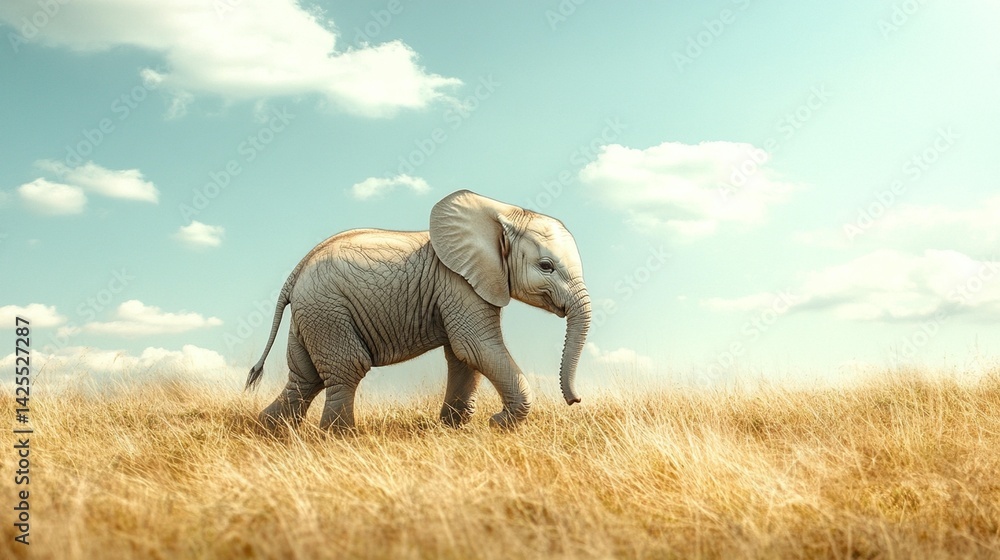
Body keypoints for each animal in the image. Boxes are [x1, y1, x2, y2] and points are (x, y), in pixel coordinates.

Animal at [245, 189, 592, 431]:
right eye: (546, 266)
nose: (575, 400)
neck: (502, 213)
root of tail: (295, 273)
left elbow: (463, 357)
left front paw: (454, 429)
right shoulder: (458, 283)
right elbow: (475, 348)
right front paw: (499, 424)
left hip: (311, 314)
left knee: (305, 376)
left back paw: (271, 430)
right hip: (327, 311)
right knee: (346, 369)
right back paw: (338, 437)